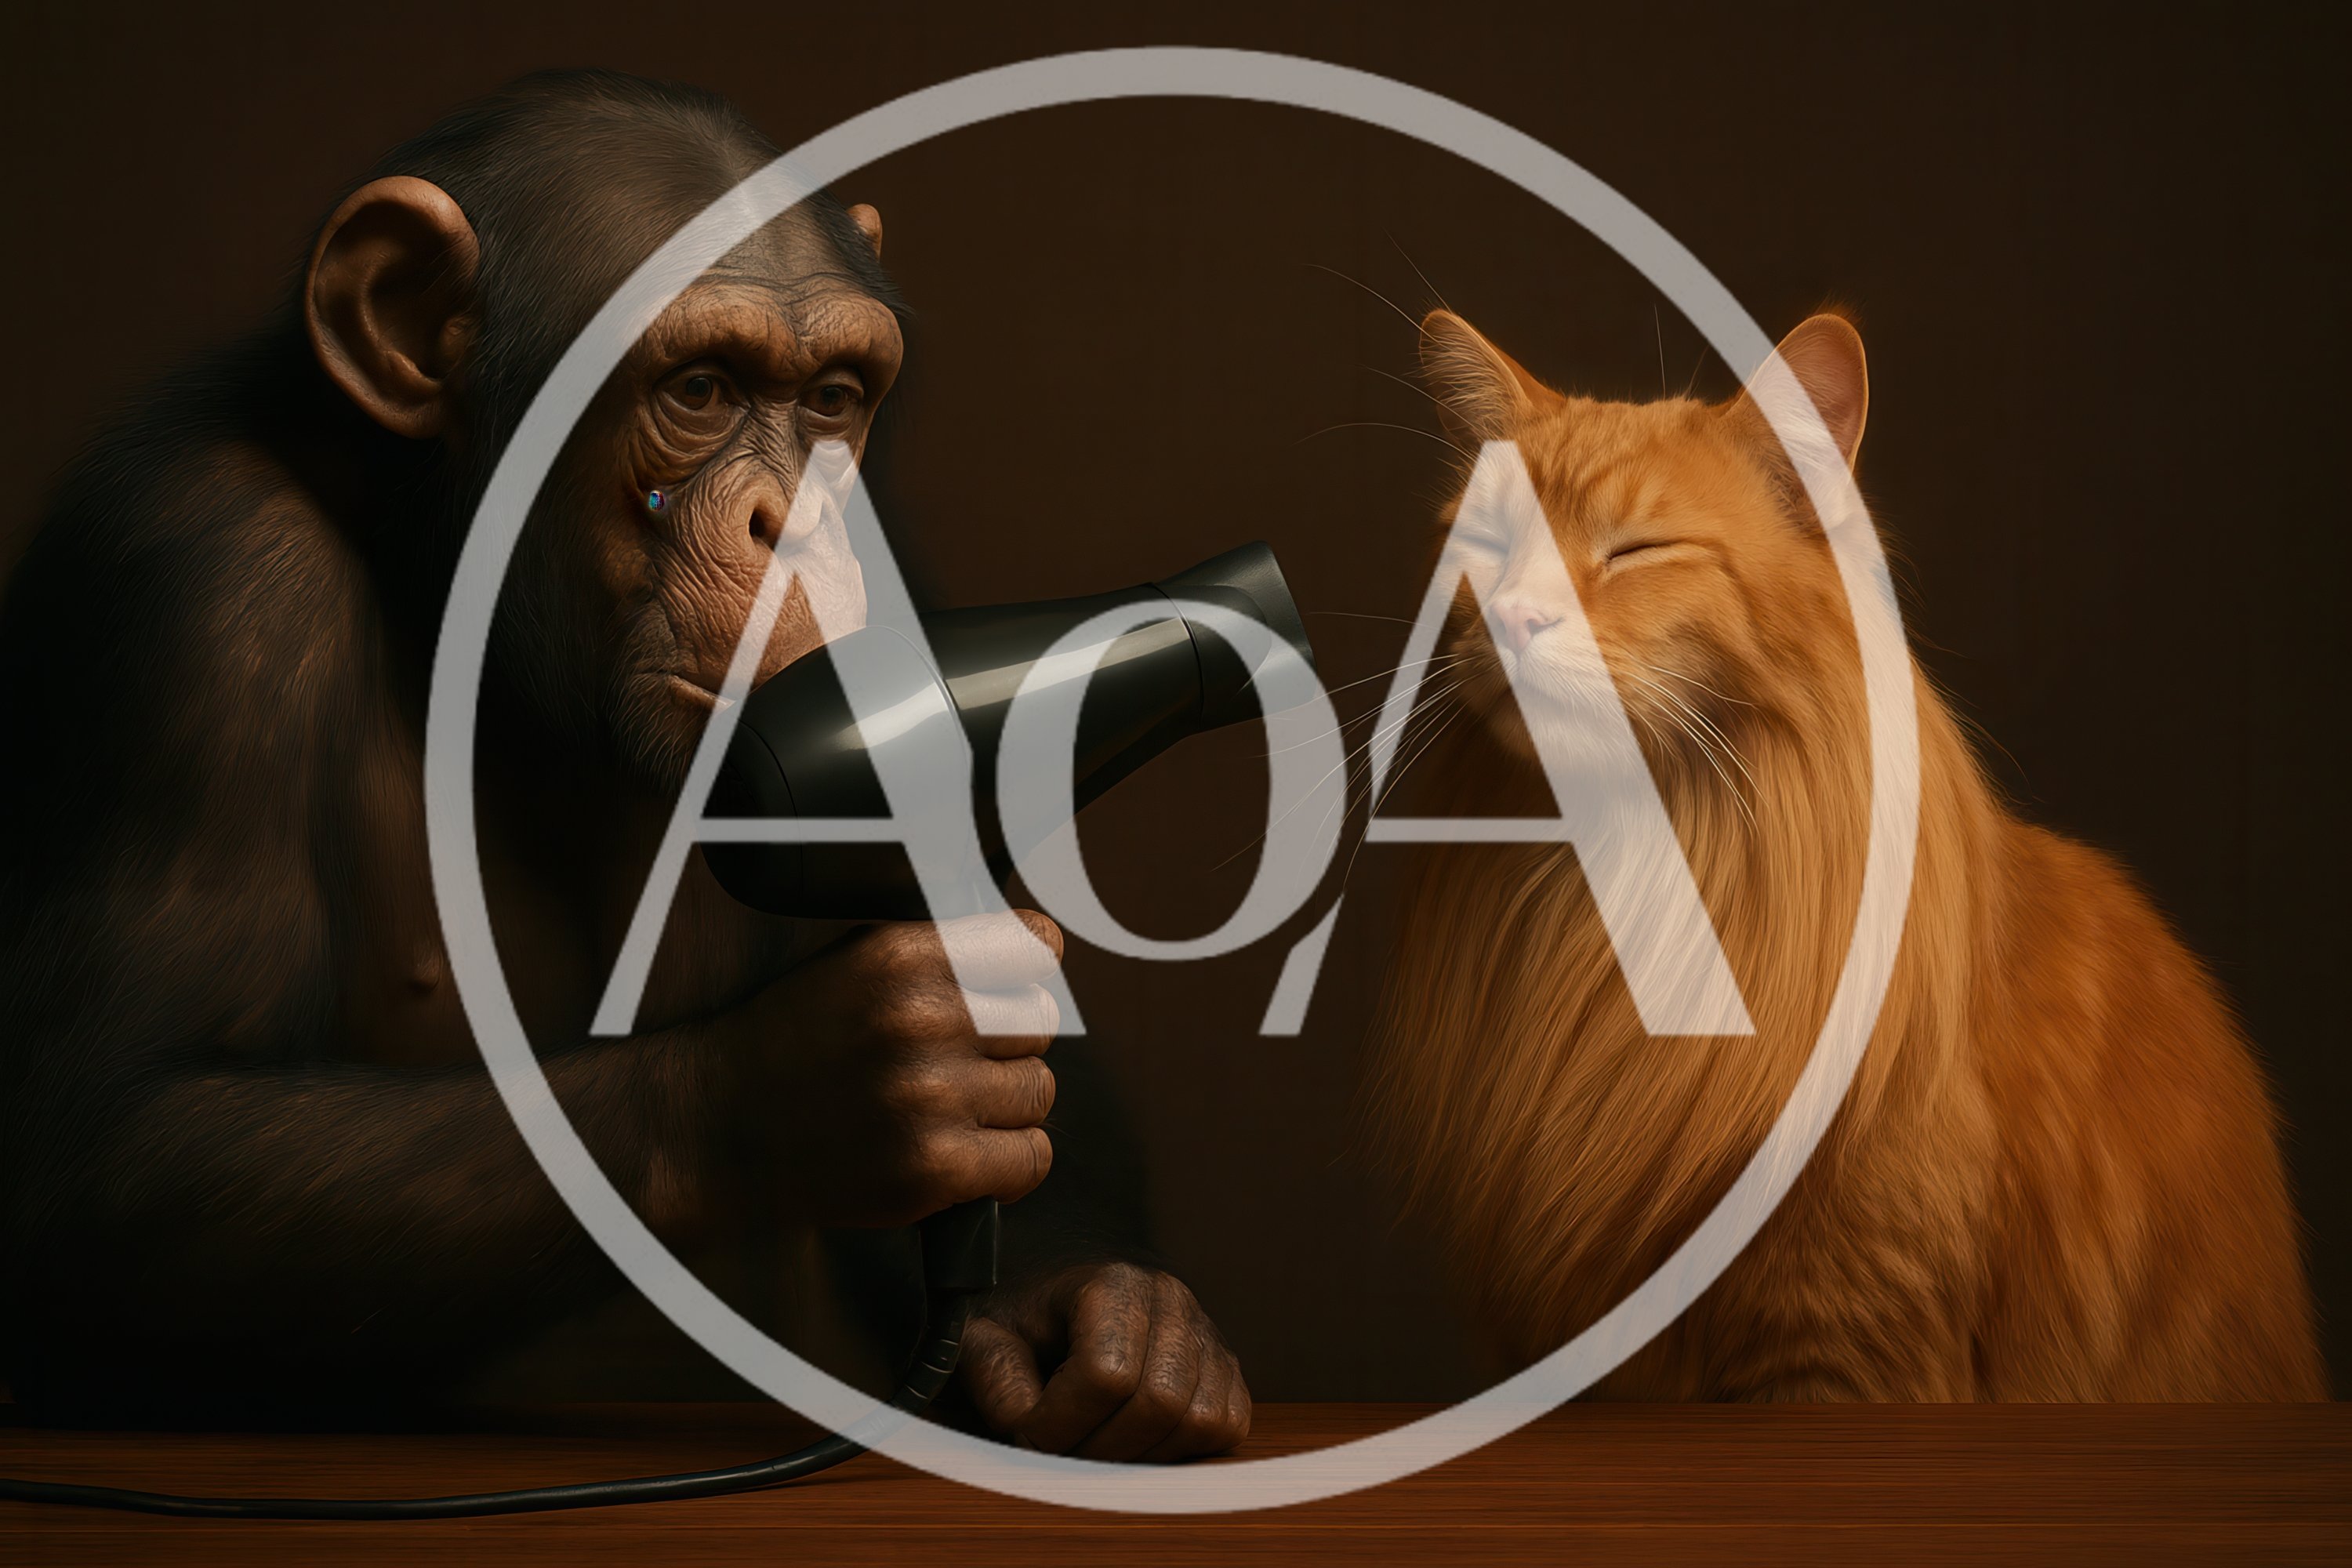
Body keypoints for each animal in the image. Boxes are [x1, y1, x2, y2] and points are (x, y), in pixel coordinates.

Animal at [0, 71, 1249, 1463]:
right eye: (698, 388)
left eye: (830, 401)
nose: (792, 520)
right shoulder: (197, 588)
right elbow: (116, 1132)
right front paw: (820, 1086)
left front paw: (1103, 1321)